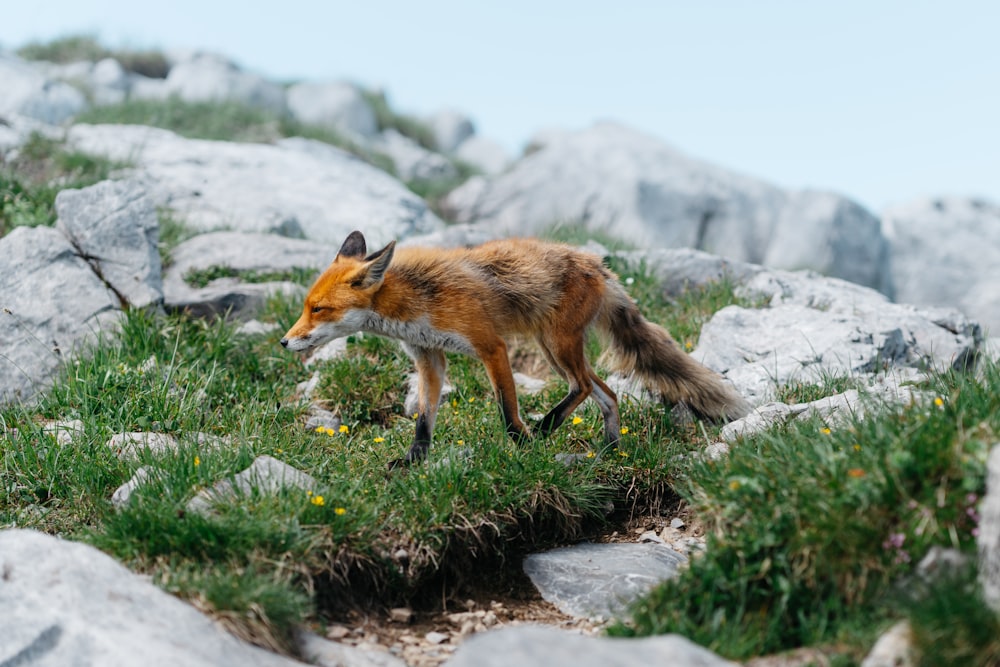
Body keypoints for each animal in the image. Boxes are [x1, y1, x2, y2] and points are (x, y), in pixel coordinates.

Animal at [280, 232, 744, 468]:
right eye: (305, 306)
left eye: (318, 309)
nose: (285, 341)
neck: (416, 300)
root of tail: (598, 265)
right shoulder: (430, 357)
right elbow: (424, 421)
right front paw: (411, 461)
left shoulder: (491, 346)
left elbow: (506, 411)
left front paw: (523, 445)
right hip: (554, 349)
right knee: (606, 393)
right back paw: (611, 450)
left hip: (557, 346)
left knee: (581, 387)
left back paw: (548, 428)